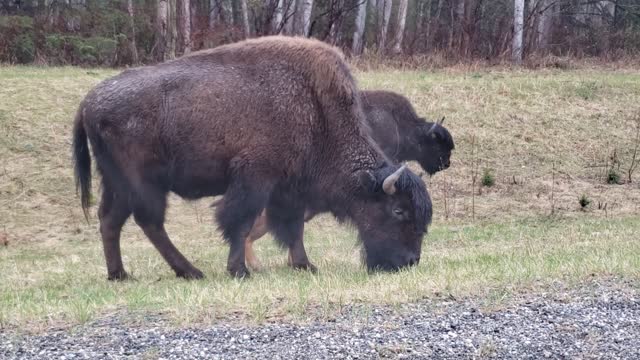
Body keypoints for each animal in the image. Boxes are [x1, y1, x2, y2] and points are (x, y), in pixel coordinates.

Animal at [72, 35, 432, 280]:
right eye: (398, 210)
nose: (410, 261)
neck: (315, 109)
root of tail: (88, 101)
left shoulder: (289, 189)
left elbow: (292, 228)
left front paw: (305, 265)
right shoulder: (256, 179)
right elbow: (240, 222)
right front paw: (239, 270)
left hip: (116, 183)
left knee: (111, 220)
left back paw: (120, 274)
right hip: (143, 183)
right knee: (149, 222)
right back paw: (191, 271)